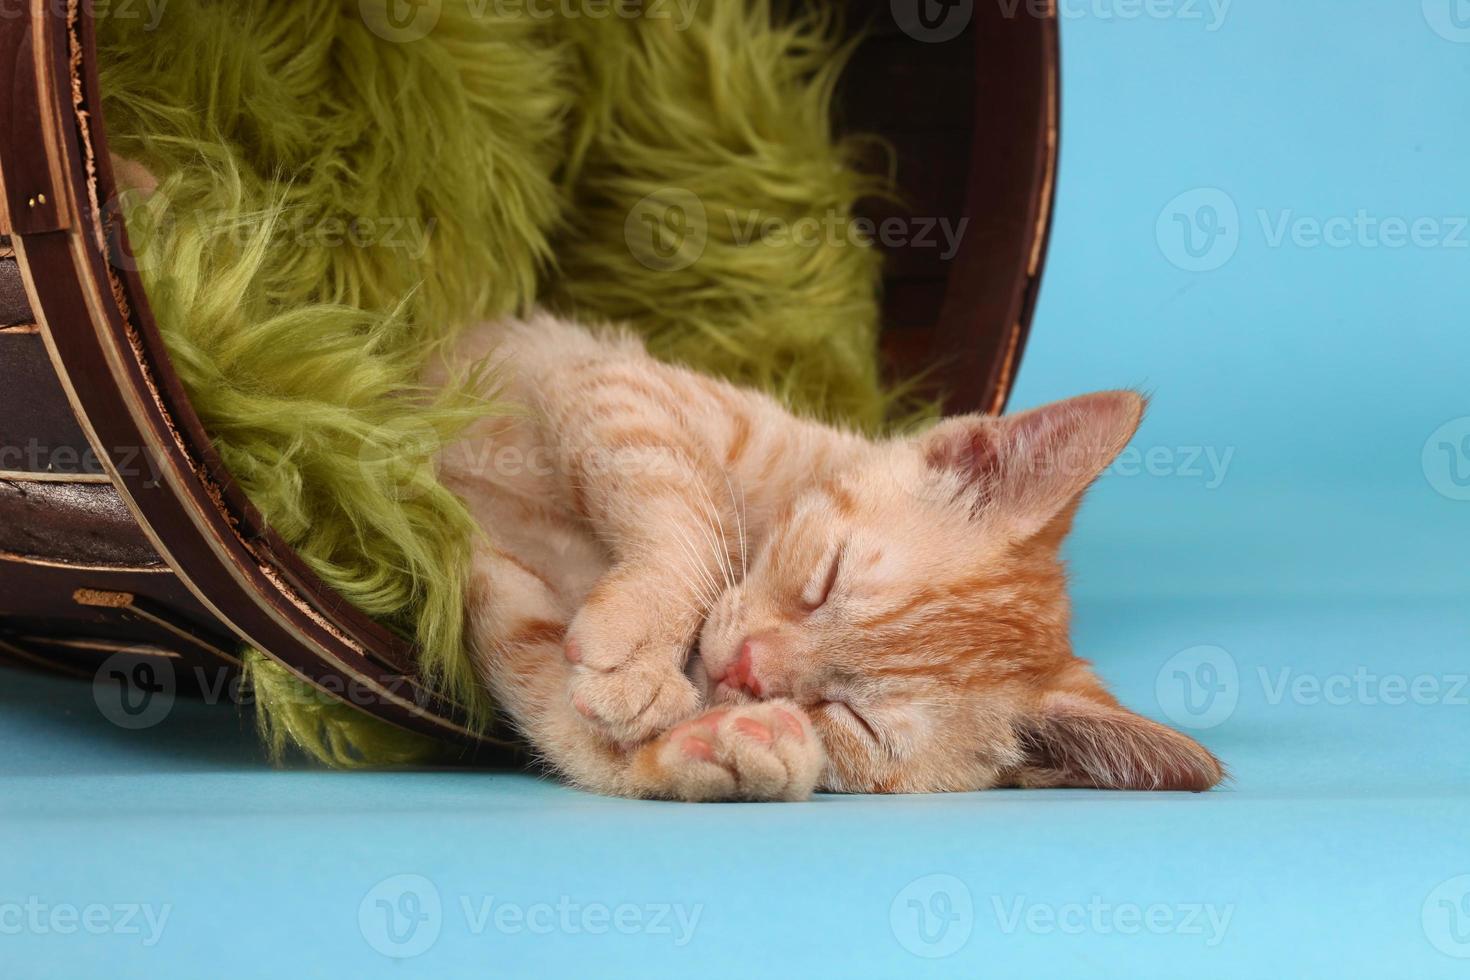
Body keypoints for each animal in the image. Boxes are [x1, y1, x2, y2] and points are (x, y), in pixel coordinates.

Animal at [438, 318, 1228, 799]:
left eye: (853, 718)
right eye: (827, 577)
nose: (743, 670)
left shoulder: (506, 593)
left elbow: (556, 709)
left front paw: (718, 747)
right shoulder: (609, 380)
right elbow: (692, 511)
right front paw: (641, 642)